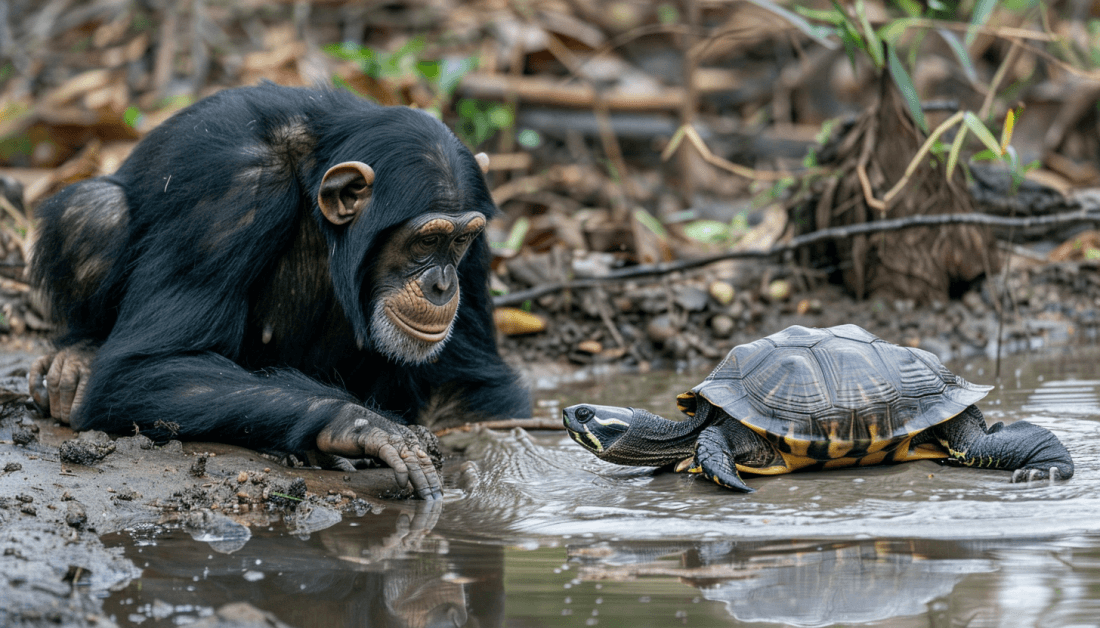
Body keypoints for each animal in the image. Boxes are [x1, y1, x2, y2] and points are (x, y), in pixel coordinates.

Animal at [29, 80, 532, 499]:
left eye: (460, 241)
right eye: (426, 241)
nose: (442, 284)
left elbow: (465, 386)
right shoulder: (230, 194)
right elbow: (145, 363)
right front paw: (358, 424)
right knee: (95, 211)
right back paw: (77, 358)